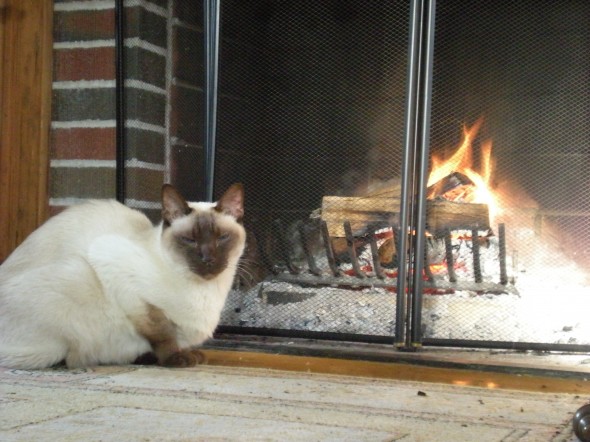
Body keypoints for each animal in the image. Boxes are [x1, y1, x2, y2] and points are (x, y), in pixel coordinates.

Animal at [0, 183, 246, 370]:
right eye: (190, 240)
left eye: (222, 238)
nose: (208, 259)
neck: (206, 291)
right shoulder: (125, 283)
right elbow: (163, 333)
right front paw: (175, 358)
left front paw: (190, 354)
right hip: (76, 278)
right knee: (67, 357)